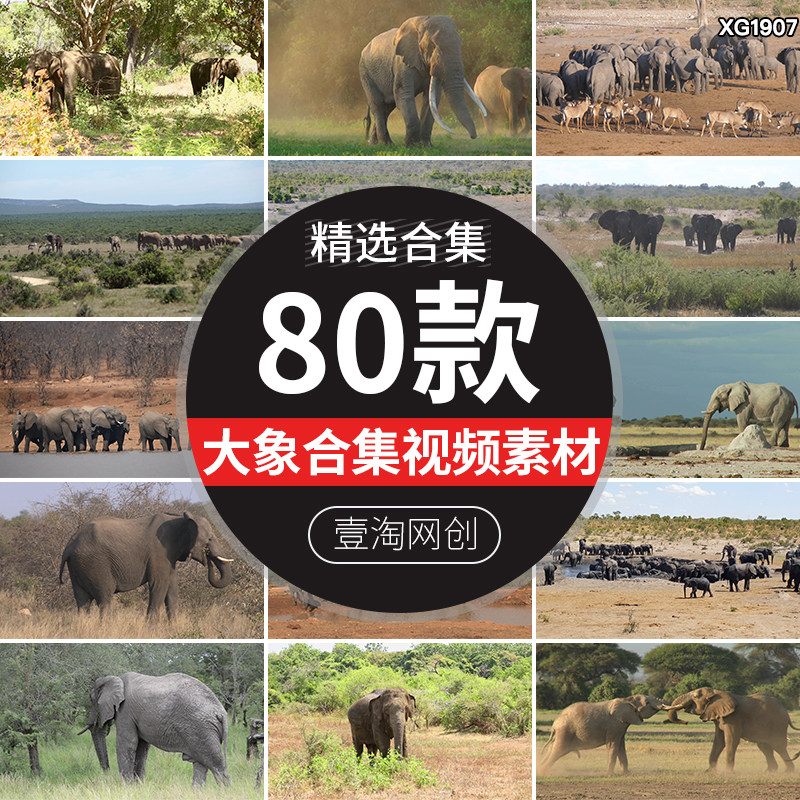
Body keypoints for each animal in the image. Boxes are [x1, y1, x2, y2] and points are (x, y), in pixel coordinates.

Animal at [58, 510, 234, 619]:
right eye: (210, 539)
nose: (208, 558)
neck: (181, 519)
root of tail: (69, 545)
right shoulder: (159, 552)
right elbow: (160, 584)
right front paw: (152, 629)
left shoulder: (169, 555)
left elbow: (172, 588)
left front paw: (173, 628)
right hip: (95, 563)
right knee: (104, 598)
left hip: (78, 566)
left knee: (82, 602)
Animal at [82, 672, 229, 786]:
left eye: (91, 699)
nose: (107, 772)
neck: (116, 679)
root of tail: (221, 712)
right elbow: (141, 748)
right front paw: (138, 786)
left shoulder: (125, 711)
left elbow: (128, 743)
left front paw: (126, 786)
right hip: (202, 730)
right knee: (201, 765)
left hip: (201, 728)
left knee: (216, 766)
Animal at [358, 15, 487, 146]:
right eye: (433, 46)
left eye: (460, 44)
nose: (473, 136)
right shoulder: (401, 63)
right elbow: (403, 95)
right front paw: (412, 145)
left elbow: (431, 100)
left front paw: (426, 145)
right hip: (365, 72)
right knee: (378, 105)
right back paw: (385, 143)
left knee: (388, 107)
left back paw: (374, 143)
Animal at [662, 688, 800, 771]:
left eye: (696, 696)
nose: (685, 722)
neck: (716, 692)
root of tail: (786, 712)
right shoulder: (719, 718)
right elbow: (718, 742)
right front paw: (709, 772)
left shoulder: (733, 718)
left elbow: (731, 740)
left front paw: (728, 772)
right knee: (764, 746)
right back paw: (769, 772)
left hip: (778, 725)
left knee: (778, 746)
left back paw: (788, 772)